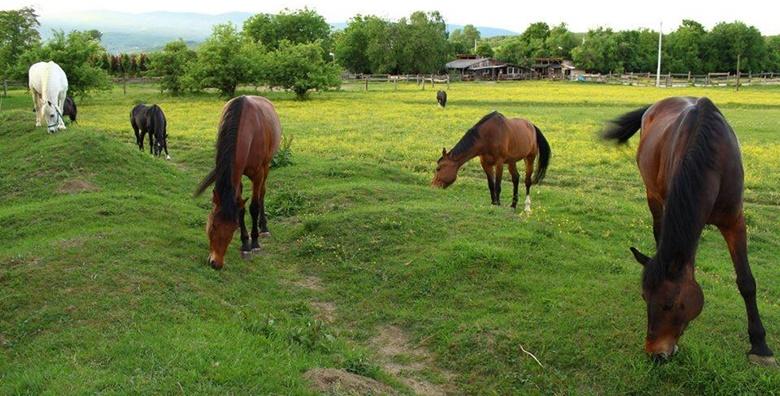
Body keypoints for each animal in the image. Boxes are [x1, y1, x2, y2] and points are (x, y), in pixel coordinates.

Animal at [193, 95, 282, 270]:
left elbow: (253, 207)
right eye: (213, 225)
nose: (216, 263)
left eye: (233, 228)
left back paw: (264, 227)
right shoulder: (237, 174)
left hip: (266, 166)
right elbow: (240, 208)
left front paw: (254, 243)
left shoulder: (258, 173)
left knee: (262, 194)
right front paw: (245, 243)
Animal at [604, 96, 772, 366]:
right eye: (644, 298)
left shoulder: (734, 221)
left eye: (670, 304)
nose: (655, 354)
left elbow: (746, 281)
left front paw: (760, 346)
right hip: (653, 196)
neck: (713, 161)